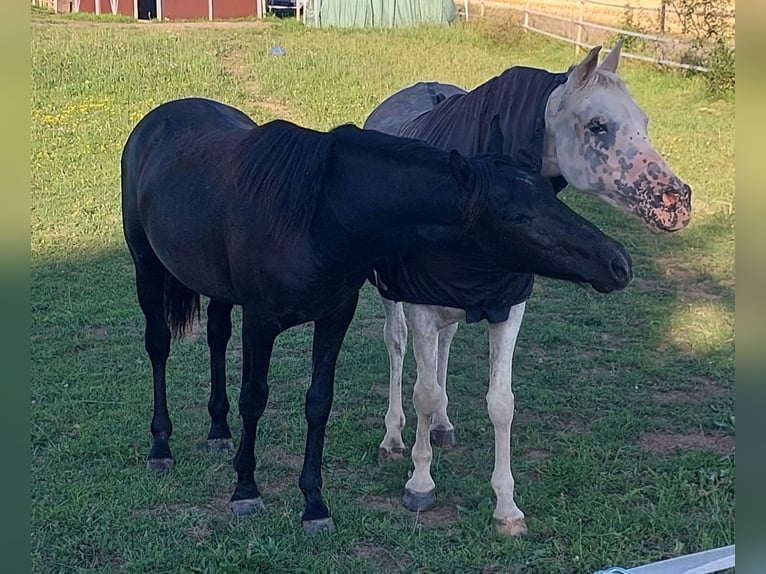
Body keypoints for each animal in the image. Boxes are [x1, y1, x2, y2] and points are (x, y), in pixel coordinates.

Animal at [121, 98, 636, 536]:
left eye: (552, 197)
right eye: (518, 215)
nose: (618, 263)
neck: (316, 213)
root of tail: (158, 119)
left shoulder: (334, 317)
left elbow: (318, 402)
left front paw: (314, 504)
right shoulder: (262, 321)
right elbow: (255, 398)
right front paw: (245, 490)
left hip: (218, 289)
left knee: (215, 336)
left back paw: (218, 431)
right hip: (147, 267)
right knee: (159, 346)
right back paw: (161, 446)